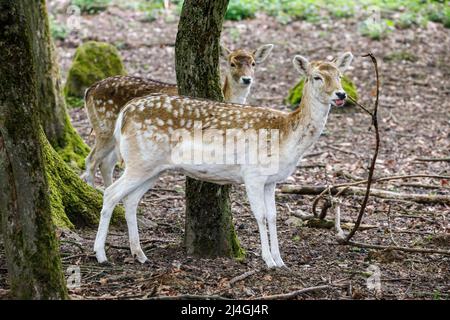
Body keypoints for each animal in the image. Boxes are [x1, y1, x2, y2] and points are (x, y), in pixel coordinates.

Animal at [81, 43, 274, 186]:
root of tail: (89, 90)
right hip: (104, 125)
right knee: (91, 160)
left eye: (253, 63)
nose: (247, 79)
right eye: (232, 63)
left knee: (106, 164)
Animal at [94, 52, 356, 268]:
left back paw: (139, 254)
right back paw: (101, 254)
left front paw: (281, 261)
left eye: (340, 75)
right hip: (140, 160)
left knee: (130, 200)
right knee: (110, 193)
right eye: (316, 77)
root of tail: (124, 115)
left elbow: (273, 217)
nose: (341, 94)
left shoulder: (272, 180)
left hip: (154, 168)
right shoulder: (253, 174)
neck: (286, 137)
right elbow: (260, 216)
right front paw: (268, 261)